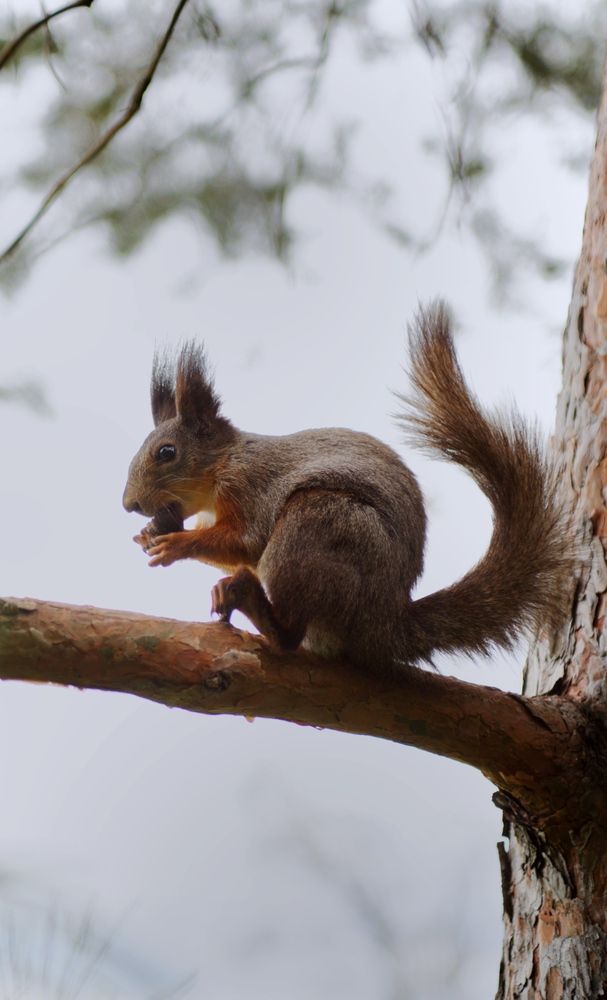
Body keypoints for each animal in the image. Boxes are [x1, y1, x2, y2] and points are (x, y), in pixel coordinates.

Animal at [122, 301, 572, 671]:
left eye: (166, 452)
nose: (130, 505)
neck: (222, 466)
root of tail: (384, 624)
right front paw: (151, 532)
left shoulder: (251, 487)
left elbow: (245, 542)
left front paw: (176, 543)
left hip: (317, 525)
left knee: (289, 635)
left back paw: (251, 602)